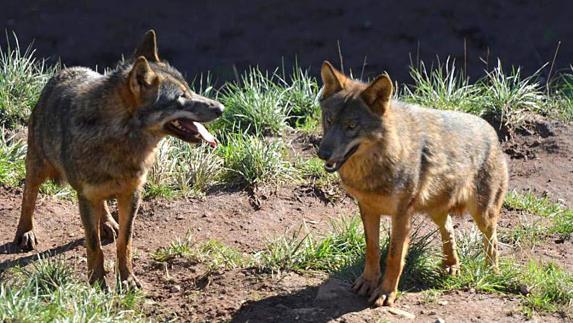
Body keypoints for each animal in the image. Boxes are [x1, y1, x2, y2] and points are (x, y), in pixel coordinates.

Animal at [13, 30, 223, 288]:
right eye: (181, 98)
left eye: (191, 90)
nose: (221, 108)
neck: (120, 141)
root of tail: (64, 71)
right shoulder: (85, 196)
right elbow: (94, 245)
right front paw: (97, 282)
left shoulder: (132, 194)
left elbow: (125, 242)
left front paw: (127, 280)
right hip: (37, 167)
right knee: (28, 197)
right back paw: (25, 232)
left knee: (103, 207)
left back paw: (107, 224)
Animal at [318, 62, 510, 308]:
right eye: (329, 120)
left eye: (351, 126)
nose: (322, 153)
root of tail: (491, 130)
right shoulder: (367, 209)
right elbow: (372, 249)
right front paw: (368, 282)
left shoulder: (401, 215)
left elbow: (394, 256)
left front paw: (386, 293)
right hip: (436, 210)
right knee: (449, 229)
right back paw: (451, 266)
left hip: (483, 215)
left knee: (492, 242)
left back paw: (491, 273)